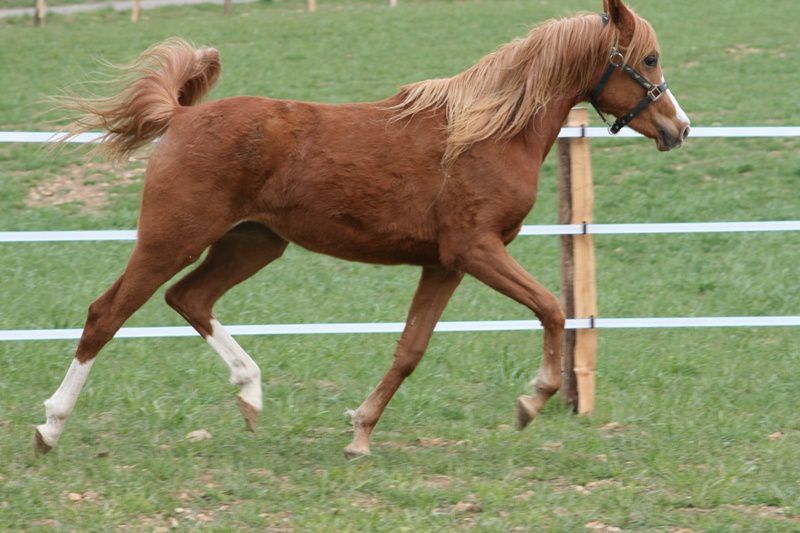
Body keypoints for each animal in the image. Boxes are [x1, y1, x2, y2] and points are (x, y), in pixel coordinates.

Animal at [36, 0, 688, 458]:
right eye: (649, 59)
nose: (678, 128)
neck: (486, 133)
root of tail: (181, 116)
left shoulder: (443, 264)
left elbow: (410, 350)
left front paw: (359, 433)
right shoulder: (475, 250)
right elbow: (552, 308)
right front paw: (531, 402)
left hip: (252, 243)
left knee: (189, 298)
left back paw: (251, 395)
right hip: (171, 238)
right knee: (107, 313)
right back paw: (49, 428)